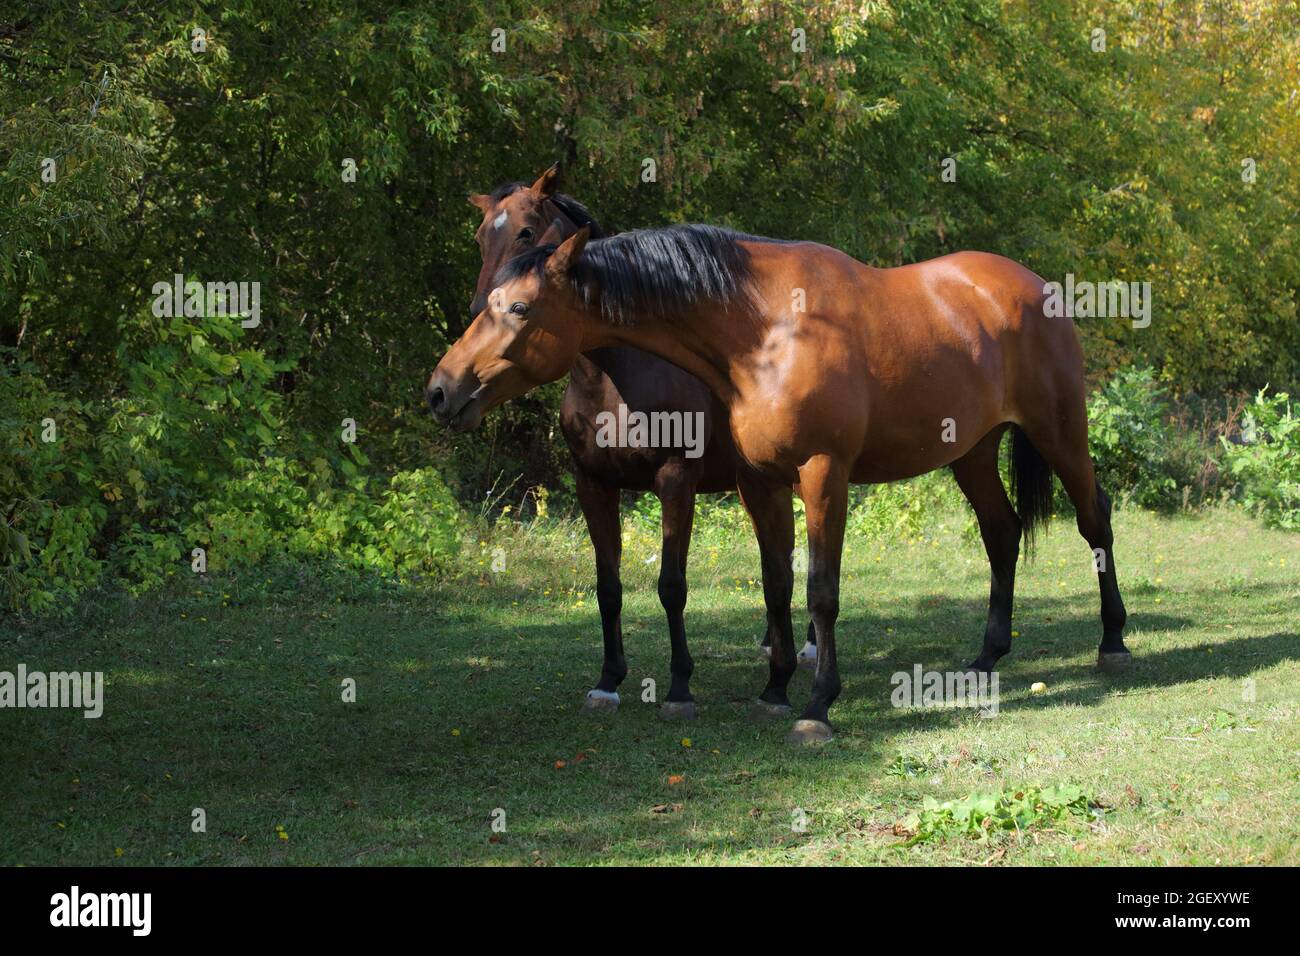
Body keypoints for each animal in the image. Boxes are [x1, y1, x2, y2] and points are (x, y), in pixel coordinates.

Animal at [426, 222, 1128, 738]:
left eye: (519, 307)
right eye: (487, 301)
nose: (440, 390)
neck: (764, 330)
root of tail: (1033, 286)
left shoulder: (820, 475)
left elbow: (819, 591)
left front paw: (817, 706)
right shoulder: (760, 481)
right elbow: (775, 583)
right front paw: (774, 688)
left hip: (1061, 431)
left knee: (1094, 519)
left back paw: (1114, 643)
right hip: (973, 452)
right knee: (1001, 532)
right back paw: (987, 658)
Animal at [462, 166, 811, 717]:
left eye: (524, 231)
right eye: (479, 237)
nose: (482, 310)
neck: (613, 376)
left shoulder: (676, 481)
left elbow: (671, 586)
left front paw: (679, 685)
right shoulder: (594, 484)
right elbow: (608, 587)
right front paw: (609, 679)